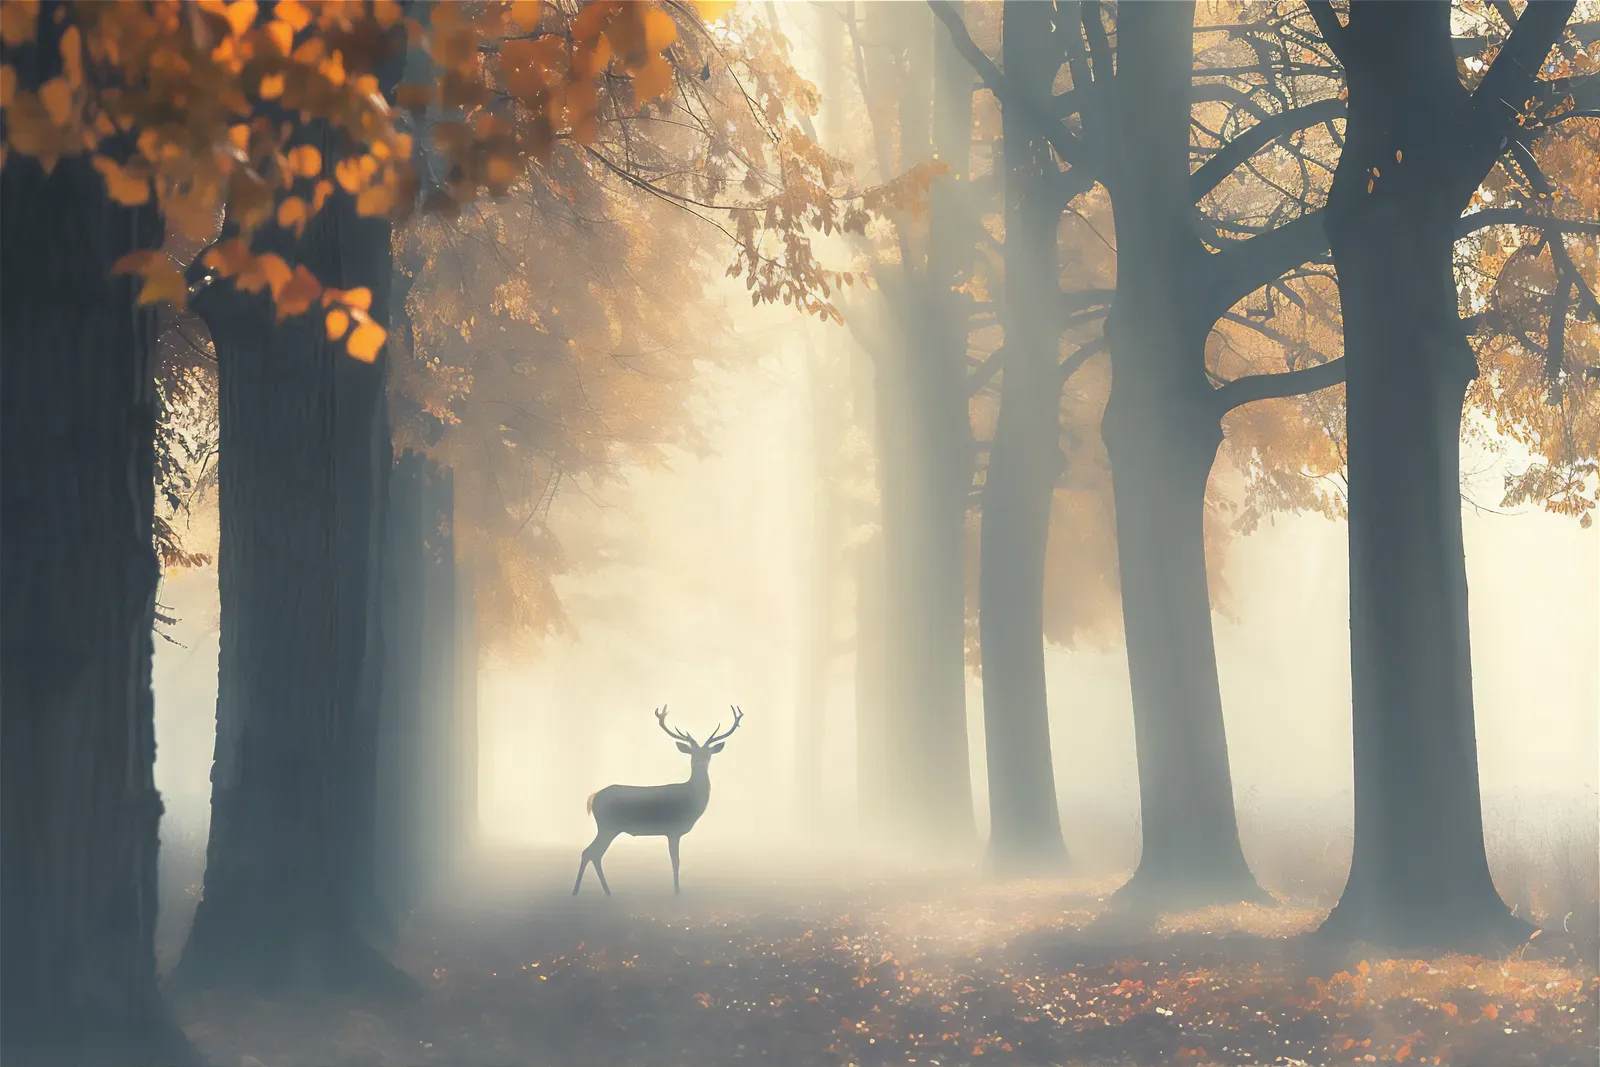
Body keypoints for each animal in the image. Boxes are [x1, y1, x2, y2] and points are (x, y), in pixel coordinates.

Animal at [573, 705, 744, 897]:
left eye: (708, 753)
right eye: (692, 753)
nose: (700, 761)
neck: (691, 800)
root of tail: (593, 796)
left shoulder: (672, 832)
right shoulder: (673, 829)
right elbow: (676, 861)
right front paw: (677, 892)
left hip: (608, 827)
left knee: (594, 854)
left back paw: (603, 892)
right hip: (607, 826)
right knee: (589, 853)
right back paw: (579, 891)